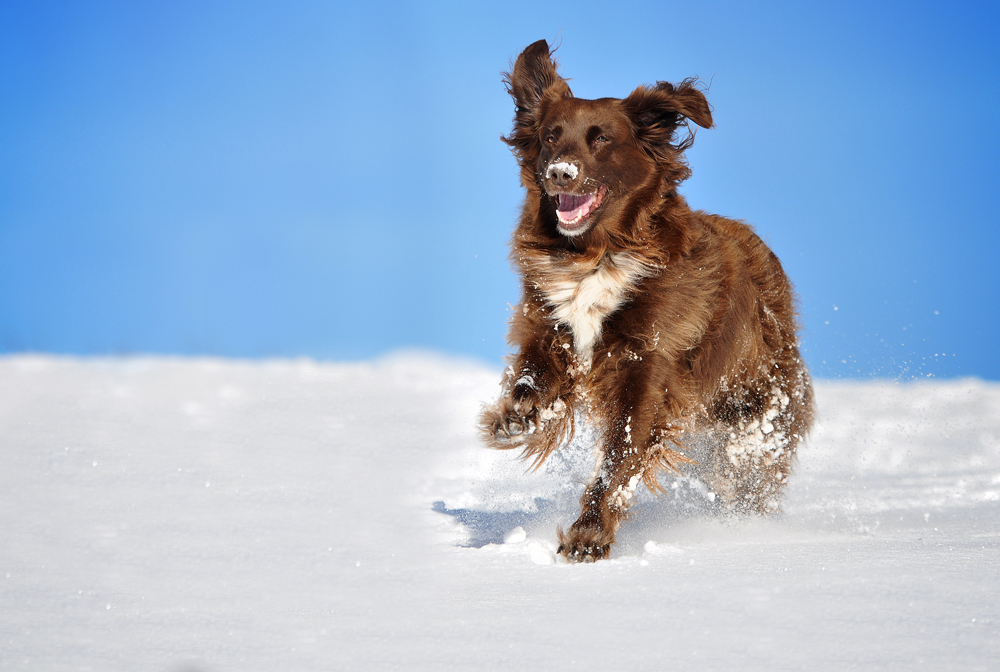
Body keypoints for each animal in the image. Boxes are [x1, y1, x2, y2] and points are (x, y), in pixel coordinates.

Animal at [480, 42, 816, 560]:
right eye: (550, 136)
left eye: (601, 139)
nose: (560, 174)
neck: (596, 254)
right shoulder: (549, 325)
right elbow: (533, 374)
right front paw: (517, 417)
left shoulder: (650, 361)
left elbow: (622, 452)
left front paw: (589, 535)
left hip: (757, 412)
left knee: (748, 474)